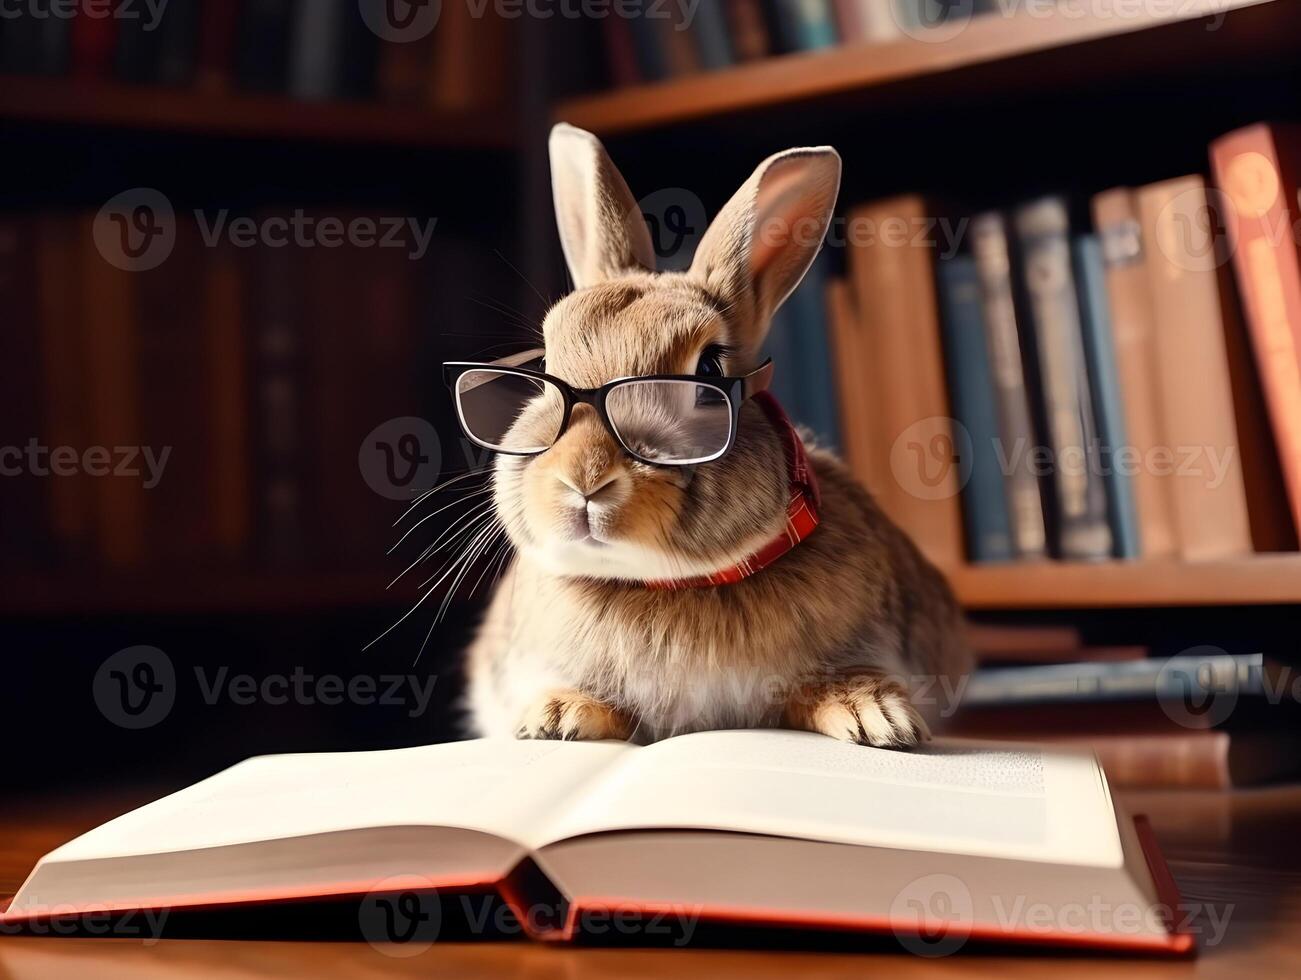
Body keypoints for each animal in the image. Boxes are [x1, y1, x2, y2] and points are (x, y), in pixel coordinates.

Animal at [463, 124, 973, 749]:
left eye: (708, 371)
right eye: (545, 370)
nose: (583, 479)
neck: (669, 586)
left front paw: (878, 719)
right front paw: (554, 717)